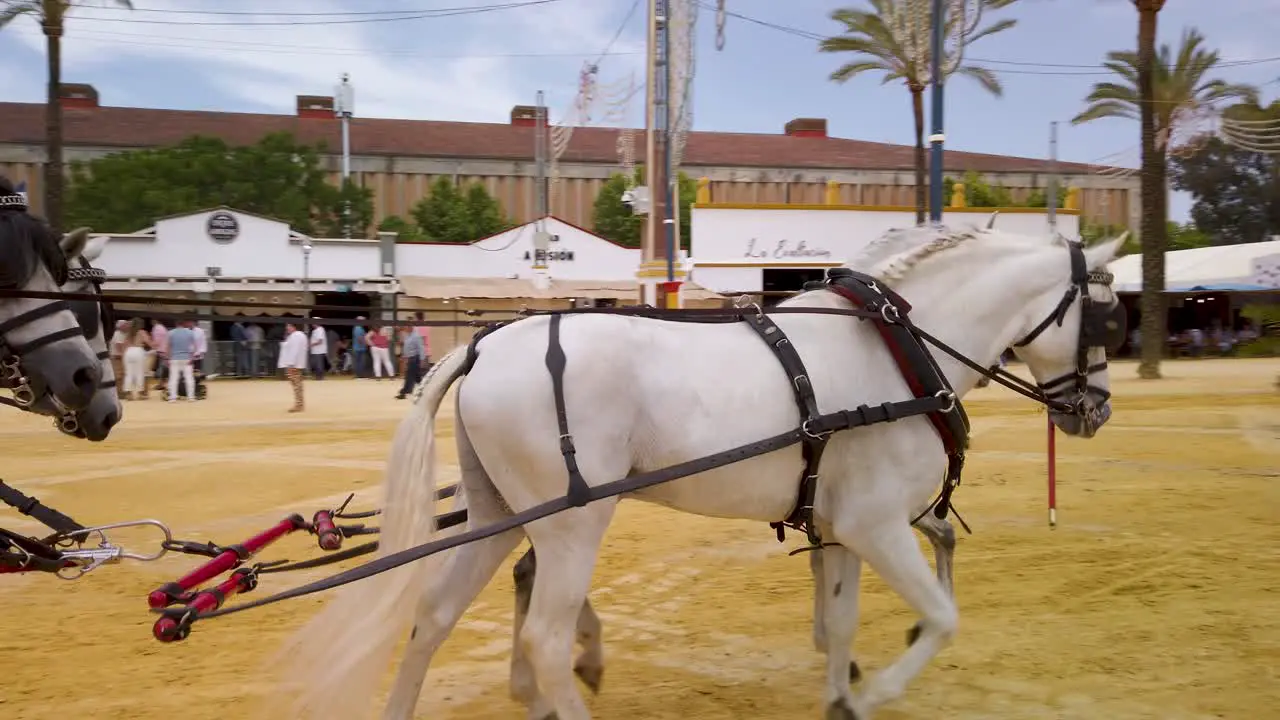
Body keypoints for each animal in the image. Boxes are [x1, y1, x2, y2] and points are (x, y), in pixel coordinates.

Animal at [277, 225, 1121, 717]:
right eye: (1109, 316)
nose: (1097, 409)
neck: (900, 354)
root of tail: (484, 345)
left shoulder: (841, 530)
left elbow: (841, 624)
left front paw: (841, 696)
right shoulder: (878, 525)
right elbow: (942, 619)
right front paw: (874, 692)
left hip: (496, 515)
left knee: (434, 615)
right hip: (570, 524)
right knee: (544, 640)